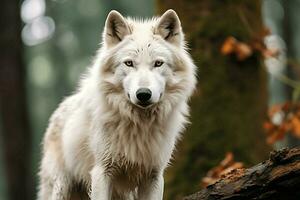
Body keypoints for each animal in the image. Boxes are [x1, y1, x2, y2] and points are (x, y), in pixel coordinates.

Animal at [37, 8, 197, 199]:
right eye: (129, 63)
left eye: (158, 63)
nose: (143, 94)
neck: (140, 125)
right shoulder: (102, 172)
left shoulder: (154, 175)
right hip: (62, 187)